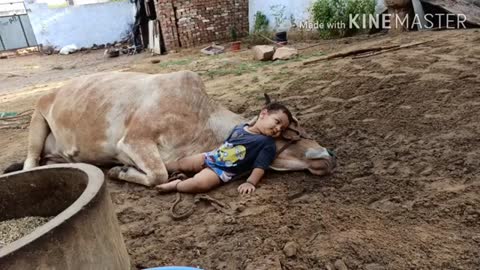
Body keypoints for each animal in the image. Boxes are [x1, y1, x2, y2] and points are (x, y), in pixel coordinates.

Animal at [7, 70, 338, 187]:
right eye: (292, 131)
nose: (328, 156)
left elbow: (166, 172)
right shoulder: (134, 140)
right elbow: (157, 175)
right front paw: (119, 172)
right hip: (37, 116)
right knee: (30, 161)